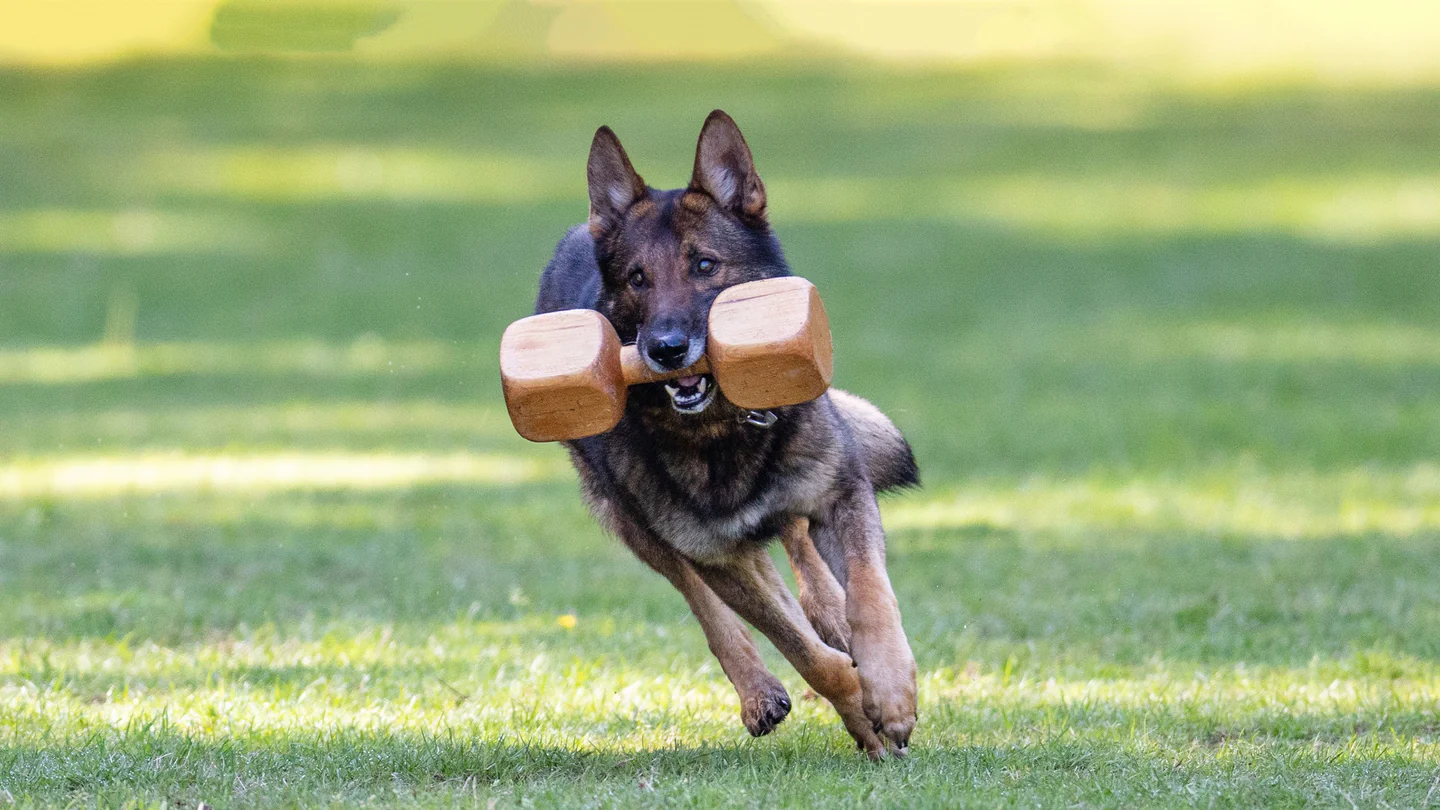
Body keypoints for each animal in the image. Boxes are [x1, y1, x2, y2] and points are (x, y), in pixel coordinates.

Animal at [535, 108, 915, 755]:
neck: (723, 432)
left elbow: (870, 594)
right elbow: (806, 656)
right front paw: (862, 713)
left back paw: (830, 613)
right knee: (709, 599)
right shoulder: (712, 552)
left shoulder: (844, 495)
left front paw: (889, 688)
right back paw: (760, 689)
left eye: (705, 265)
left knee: (796, 548)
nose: (665, 350)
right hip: (636, 523)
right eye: (637, 279)